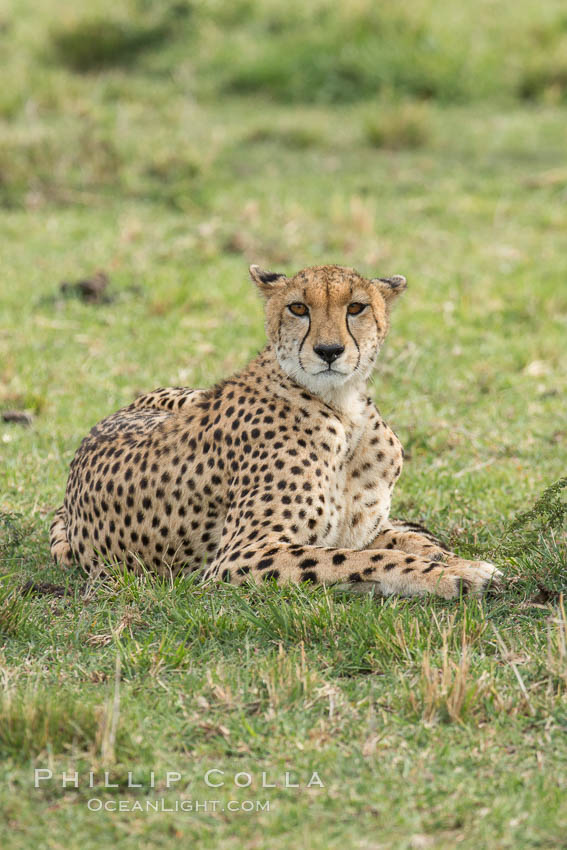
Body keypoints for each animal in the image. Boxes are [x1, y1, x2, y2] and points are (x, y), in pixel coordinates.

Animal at [51, 264, 504, 596]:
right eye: (298, 308)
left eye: (356, 308)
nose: (328, 351)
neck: (345, 410)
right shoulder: (240, 556)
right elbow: (359, 560)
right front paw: (449, 576)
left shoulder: (360, 529)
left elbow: (398, 543)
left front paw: (456, 563)